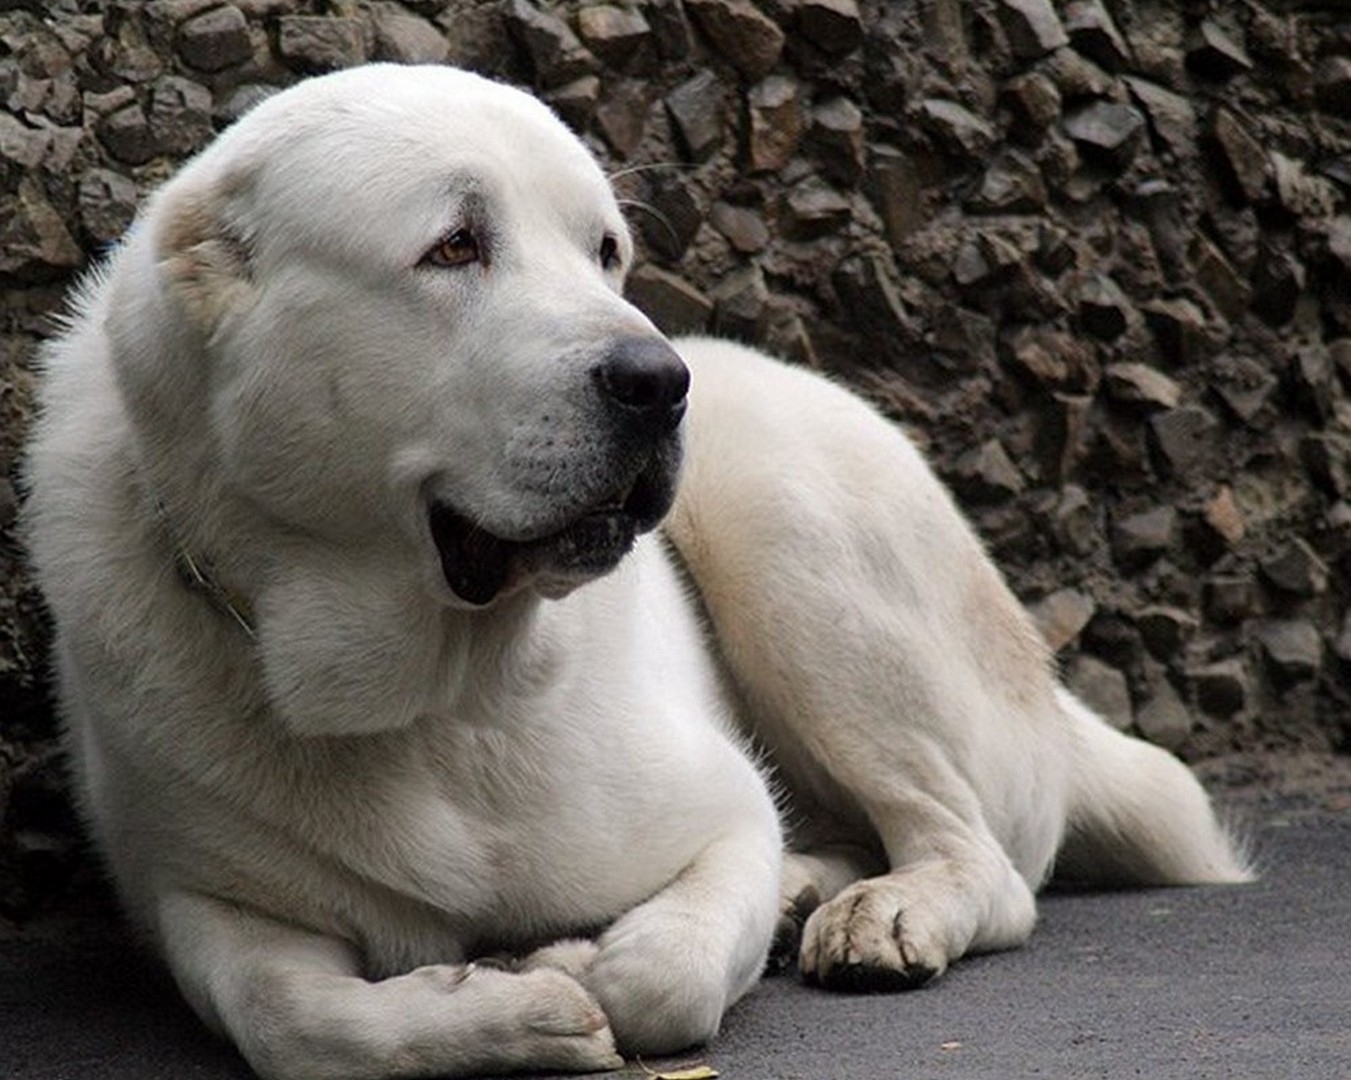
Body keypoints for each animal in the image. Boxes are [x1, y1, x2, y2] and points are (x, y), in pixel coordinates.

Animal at [21, 65, 1242, 1080]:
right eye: (454, 245)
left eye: (604, 251)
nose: (657, 380)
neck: (431, 695)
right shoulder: (198, 899)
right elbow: (297, 1023)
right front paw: (508, 1013)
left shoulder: (722, 806)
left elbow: (664, 973)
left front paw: (576, 969)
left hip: (787, 522)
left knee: (975, 851)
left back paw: (881, 913)